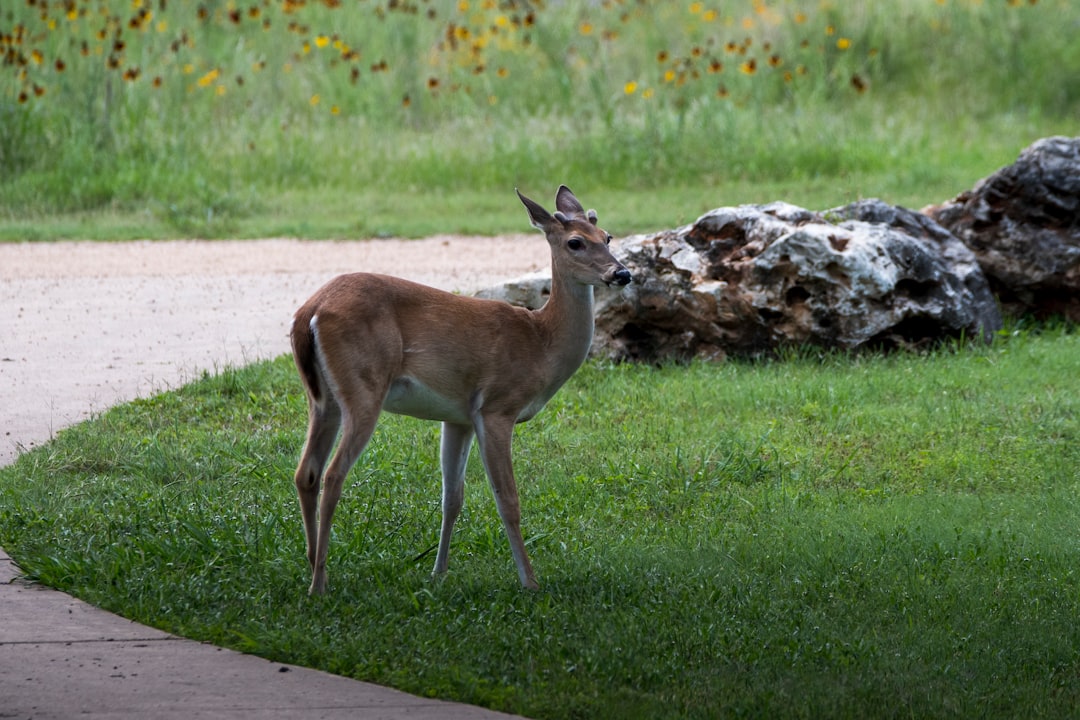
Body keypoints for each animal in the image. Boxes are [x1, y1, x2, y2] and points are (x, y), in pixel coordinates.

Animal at [287, 187, 630, 595]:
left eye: (607, 237)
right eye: (575, 242)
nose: (621, 273)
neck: (541, 343)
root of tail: (311, 310)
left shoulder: (458, 417)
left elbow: (452, 497)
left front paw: (438, 573)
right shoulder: (497, 406)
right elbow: (508, 499)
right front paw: (530, 581)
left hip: (324, 398)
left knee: (306, 472)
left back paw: (312, 565)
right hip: (364, 387)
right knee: (333, 475)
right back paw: (319, 584)